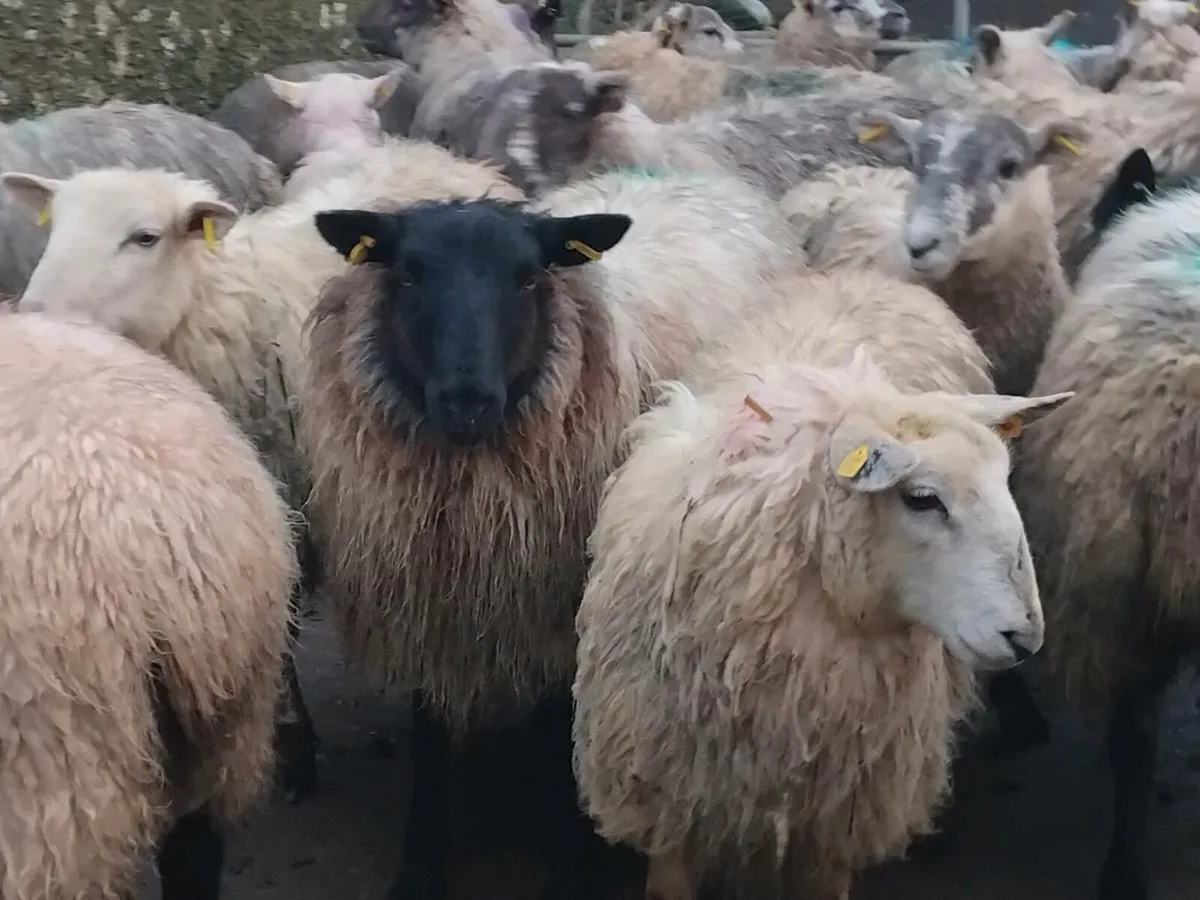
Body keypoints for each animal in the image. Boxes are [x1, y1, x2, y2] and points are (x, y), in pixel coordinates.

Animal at [1, 137, 521, 805]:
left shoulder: (290, 502)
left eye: (144, 237)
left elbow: (288, 621)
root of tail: (428, 153)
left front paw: (295, 746)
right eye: (54, 226)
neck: (222, 308)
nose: (39, 314)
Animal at [300, 167, 802, 899]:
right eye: (411, 273)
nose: (468, 399)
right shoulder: (427, 603)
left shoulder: (567, 617)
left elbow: (567, 746)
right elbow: (429, 742)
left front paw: (573, 864)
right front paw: (420, 865)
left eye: (528, 277)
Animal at [573, 269, 1071, 900]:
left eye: (1005, 480)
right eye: (921, 498)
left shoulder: (835, 827)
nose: (1025, 636)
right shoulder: (671, 810)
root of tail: (867, 275)